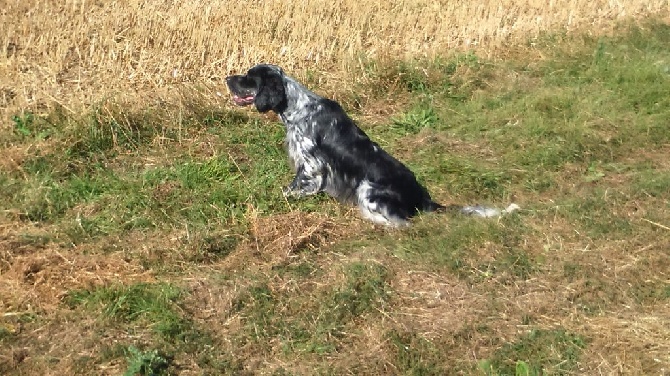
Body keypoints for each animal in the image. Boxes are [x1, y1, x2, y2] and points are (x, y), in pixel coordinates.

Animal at [226, 64, 520, 226]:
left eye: (249, 77)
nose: (227, 78)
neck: (297, 107)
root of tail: (424, 200)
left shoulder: (311, 166)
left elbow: (289, 190)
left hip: (367, 188)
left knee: (403, 224)